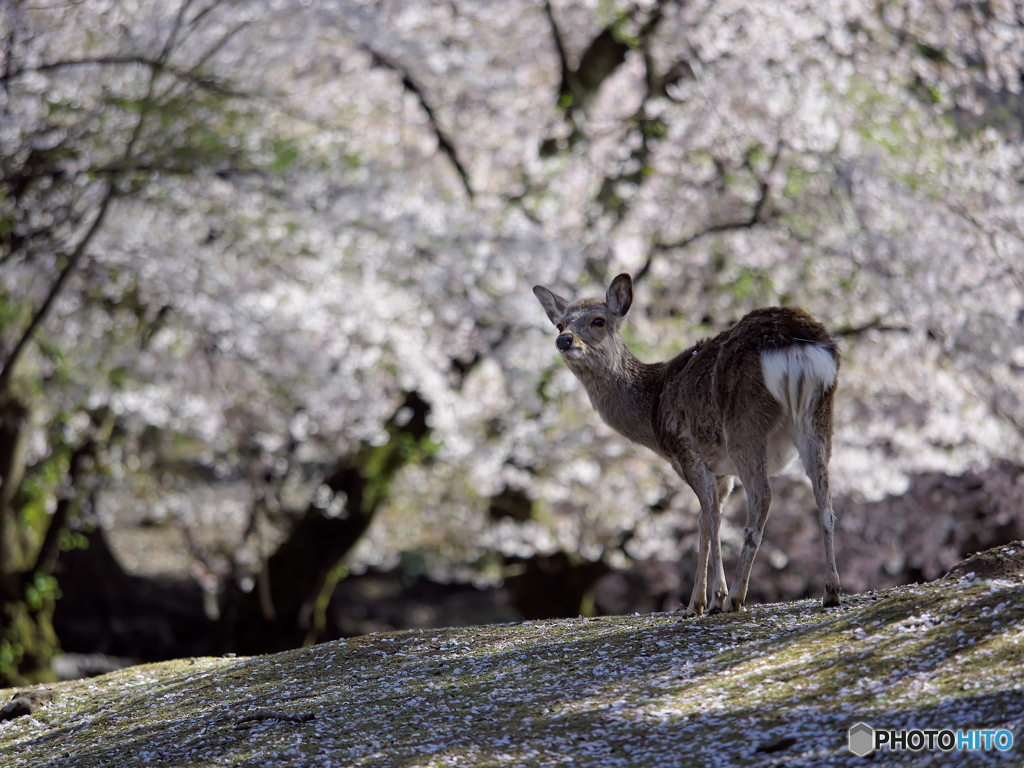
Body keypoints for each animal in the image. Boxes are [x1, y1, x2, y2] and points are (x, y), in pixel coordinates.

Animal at [536, 274, 839, 618]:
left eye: (598, 320)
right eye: (559, 324)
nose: (564, 341)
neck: (652, 412)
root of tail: (794, 343)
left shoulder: (686, 452)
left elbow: (710, 517)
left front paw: (709, 600)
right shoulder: (721, 471)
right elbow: (706, 519)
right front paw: (702, 601)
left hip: (744, 424)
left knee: (763, 497)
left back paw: (736, 598)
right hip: (819, 415)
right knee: (824, 496)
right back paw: (831, 591)